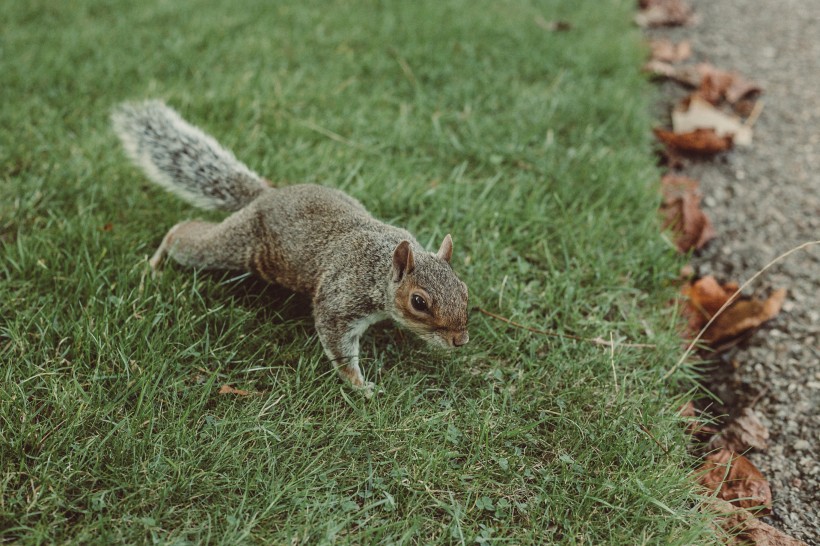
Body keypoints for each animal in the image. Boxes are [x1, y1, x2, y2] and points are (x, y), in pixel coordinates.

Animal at [110, 100, 468, 394]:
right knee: (182, 236)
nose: (460, 340)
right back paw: (155, 263)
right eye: (418, 302)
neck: (379, 266)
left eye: (463, 288)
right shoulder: (340, 299)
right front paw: (360, 386)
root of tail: (266, 195)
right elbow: (338, 344)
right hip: (235, 246)